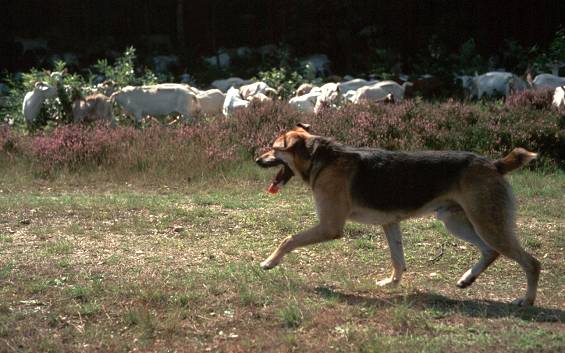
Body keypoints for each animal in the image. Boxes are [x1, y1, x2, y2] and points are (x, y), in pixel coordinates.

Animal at [253, 123, 540, 306]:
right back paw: (467, 279)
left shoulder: (329, 226)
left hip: (487, 224)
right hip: (456, 222)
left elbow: (288, 239)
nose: (256, 160)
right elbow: (398, 260)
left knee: (531, 262)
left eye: (274, 148)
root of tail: (493, 164)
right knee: (491, 252)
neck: (320, 158)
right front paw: (392, 283)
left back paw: (526, 300)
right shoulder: (390, 224)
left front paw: (269, 262)